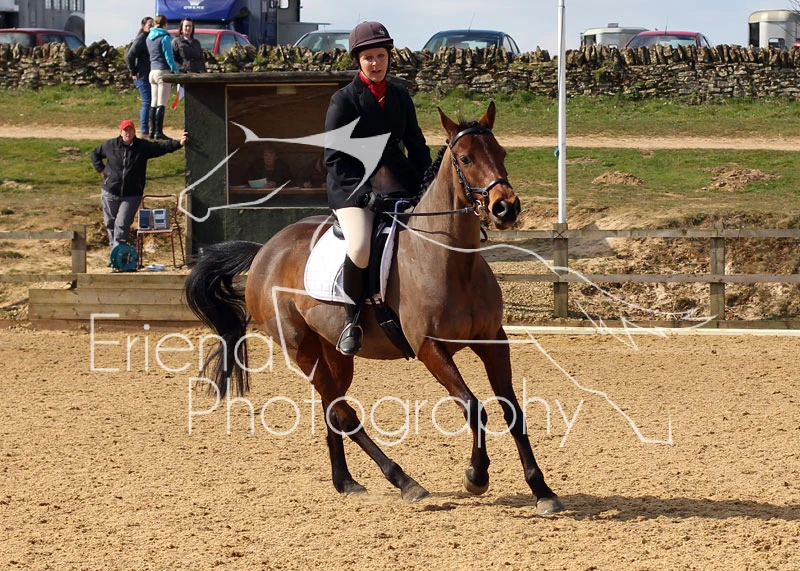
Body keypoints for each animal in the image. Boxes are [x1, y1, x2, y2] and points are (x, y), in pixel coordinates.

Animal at [184, 102, 565, 515]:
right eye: (465, 158)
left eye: (502, 153)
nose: (505, 207)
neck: (450, 260)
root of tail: (264, 252)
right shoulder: (430, 347)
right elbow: (473, 406)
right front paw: (476, 476)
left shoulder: (493, 340)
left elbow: (513, 411)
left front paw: (542, 489)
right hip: (301, 349)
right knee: (344, 412)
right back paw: (404, 481)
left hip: (334, 353)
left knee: (331, 408)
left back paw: (347, 482)